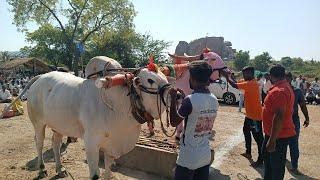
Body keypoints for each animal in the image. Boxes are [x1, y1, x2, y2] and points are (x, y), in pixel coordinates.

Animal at [25, 57, 170, 179]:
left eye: (166, 78)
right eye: (150, 80)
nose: (171, 91)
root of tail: (40, 77)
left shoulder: (111, 145)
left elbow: (108, 171)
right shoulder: (91, 143)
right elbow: (95, 174)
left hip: (58, 125)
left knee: (55, 143)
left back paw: (60, 169)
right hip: (38, 123)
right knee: (39, 142)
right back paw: (42, 169)